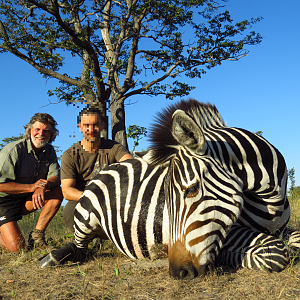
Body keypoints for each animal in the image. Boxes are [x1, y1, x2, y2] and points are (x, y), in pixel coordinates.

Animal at [40, 99, 300, 278]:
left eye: (191, 189)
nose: (178, 272)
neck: (272, 204)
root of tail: (108, 167)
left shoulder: (281, 227)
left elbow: (294, 240)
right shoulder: (230, 231)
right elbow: (276, 252)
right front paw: (224, 257)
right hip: (85, 217)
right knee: (80, 247)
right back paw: (53, 256)